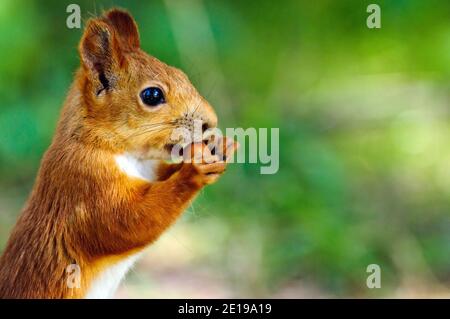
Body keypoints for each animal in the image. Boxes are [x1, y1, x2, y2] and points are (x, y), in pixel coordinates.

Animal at [0, 8, 237, 300]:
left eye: (182, 74)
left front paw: (221, 147)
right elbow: (128, 221)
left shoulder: (151, 169)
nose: (211, 121)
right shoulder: (84, 187)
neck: (127, 154)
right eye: (152, 95)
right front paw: (195, 169)